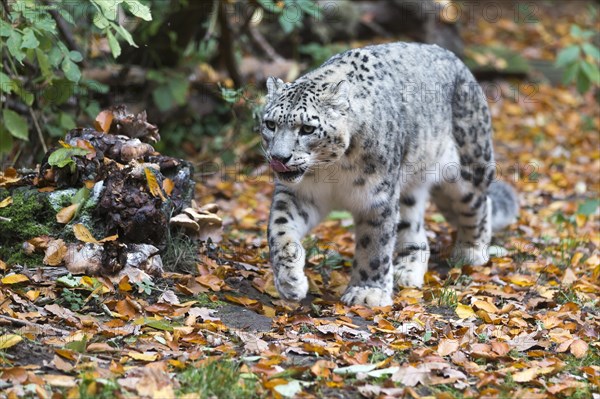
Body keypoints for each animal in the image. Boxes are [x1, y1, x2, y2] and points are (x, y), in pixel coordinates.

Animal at [260, 42, 516, 308]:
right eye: (270, 124)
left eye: (307, 129)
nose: (279, 157)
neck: (331, 170)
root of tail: (460, 63)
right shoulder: (298, 195)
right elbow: (280, 230)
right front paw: (289, 281)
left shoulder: (377, 197)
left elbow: (374, 245)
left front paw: (367, 292)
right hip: (409, 188)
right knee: (415, 226)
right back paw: (407, 270)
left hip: (467, 167)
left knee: (479, 202)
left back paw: (471, 252)